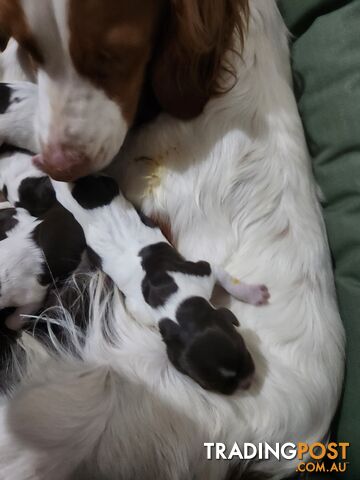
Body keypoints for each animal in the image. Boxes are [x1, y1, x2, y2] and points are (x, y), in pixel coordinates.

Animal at [52, 176, 270, 394]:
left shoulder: (201, 271)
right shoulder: (141, 311)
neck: (175, 306)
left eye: (244, 350)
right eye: (213, 387)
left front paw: (254, 294)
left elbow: (227, 280)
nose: (247, 383)